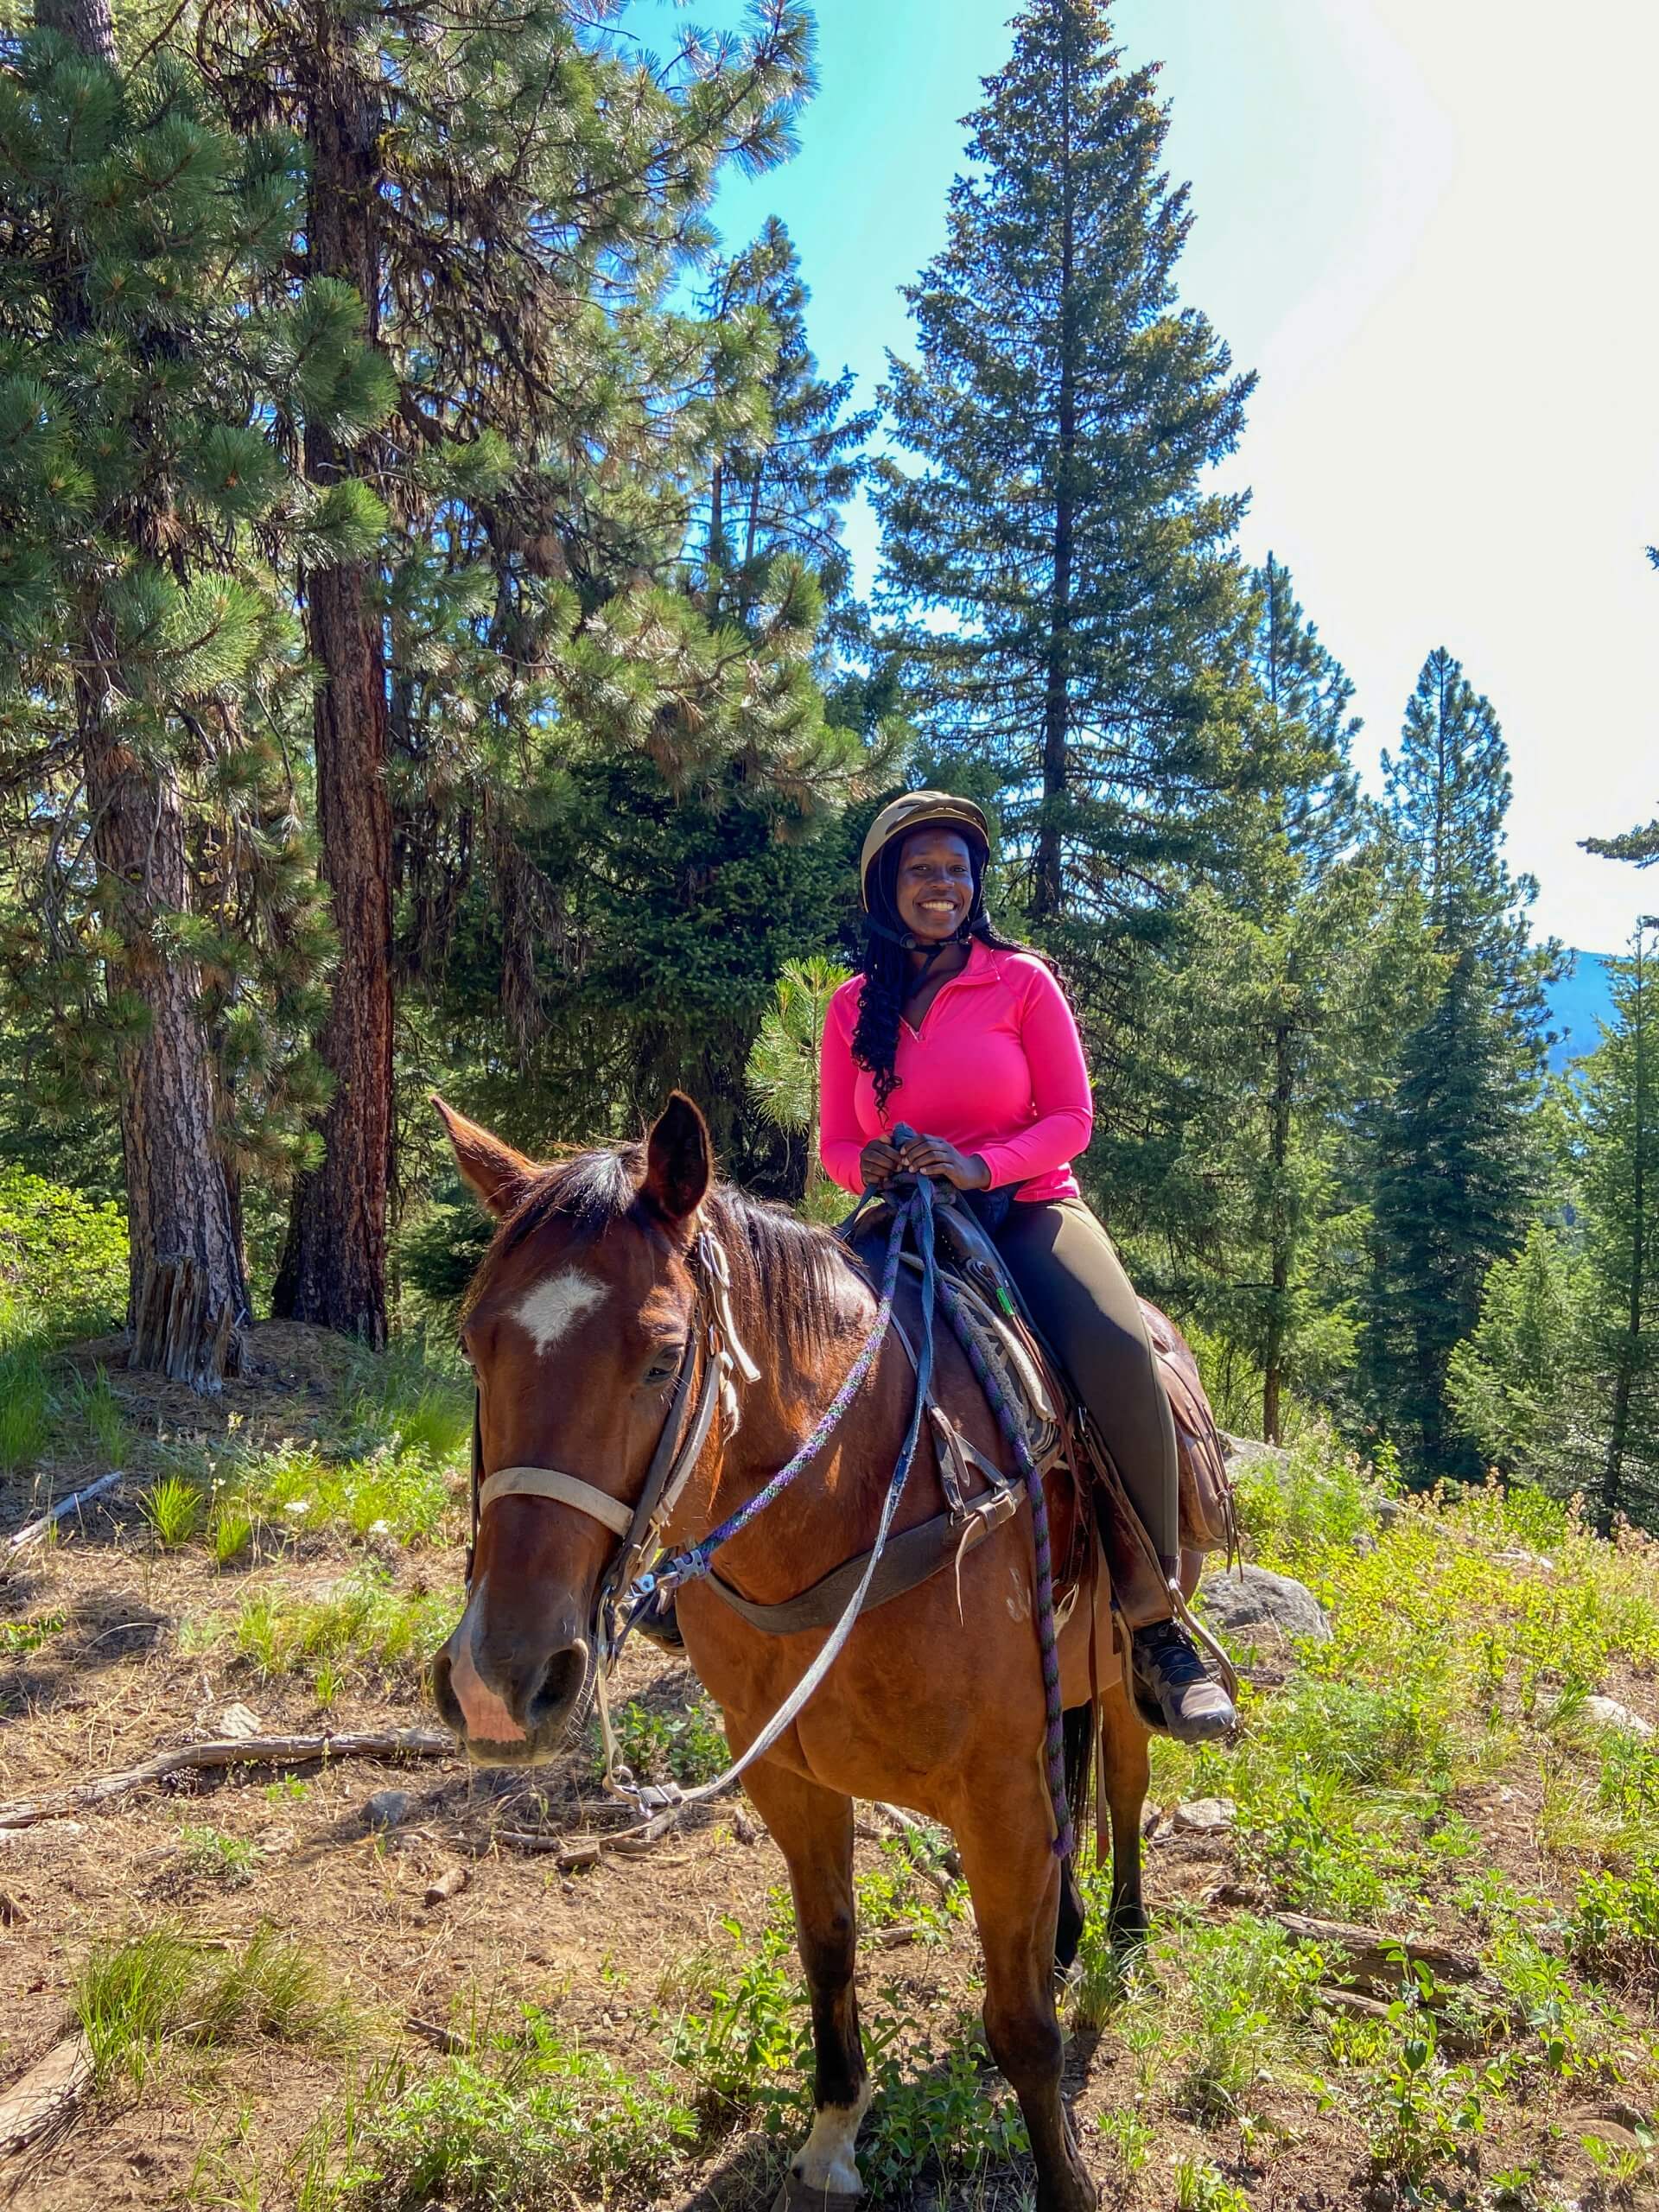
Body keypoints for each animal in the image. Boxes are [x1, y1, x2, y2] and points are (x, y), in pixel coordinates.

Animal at [429, 1092, 1159, 2212]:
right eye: (477, 1347)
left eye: (661, 1355)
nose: (497, 1683)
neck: (850, 1503)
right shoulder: (790, 1776)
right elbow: (829, 1948)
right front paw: (831, 2134)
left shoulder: (997, 1794)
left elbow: (1021, 2026)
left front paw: (1068, 2182)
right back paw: (1075, 1934)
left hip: (1121, 1662)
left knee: (1122, 1782)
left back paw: (1121, 1935)